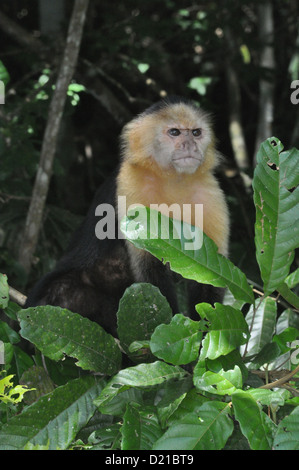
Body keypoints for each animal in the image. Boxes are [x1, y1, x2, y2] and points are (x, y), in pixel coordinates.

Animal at [26, 96, 232, 338]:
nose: (191, 145)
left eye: (196, 132)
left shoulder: (209, 190)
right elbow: (149, 271)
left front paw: (206, 333)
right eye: (174, 132)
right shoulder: (130, 181)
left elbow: (210, 269)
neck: (174, 179)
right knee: (58, 293)